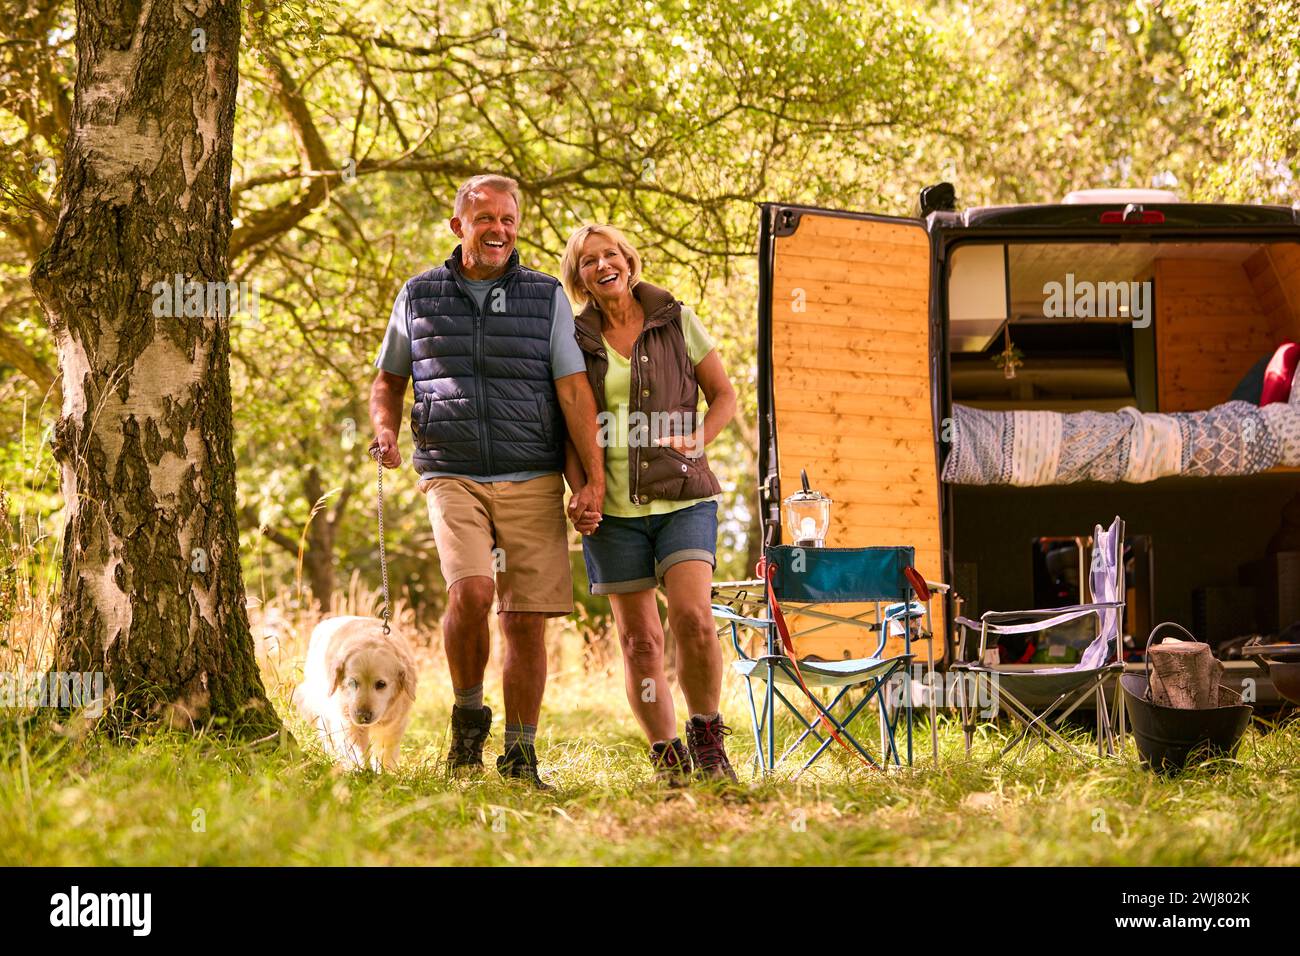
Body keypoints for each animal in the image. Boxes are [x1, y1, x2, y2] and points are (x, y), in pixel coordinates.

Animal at [295, 616, 416, 775]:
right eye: (353, 682)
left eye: (381, 684)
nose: (362, 716)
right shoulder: (348, 721)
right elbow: (357, 749)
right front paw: (363, 771)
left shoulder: (395, 725)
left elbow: (387, 752)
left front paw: (386, 773)